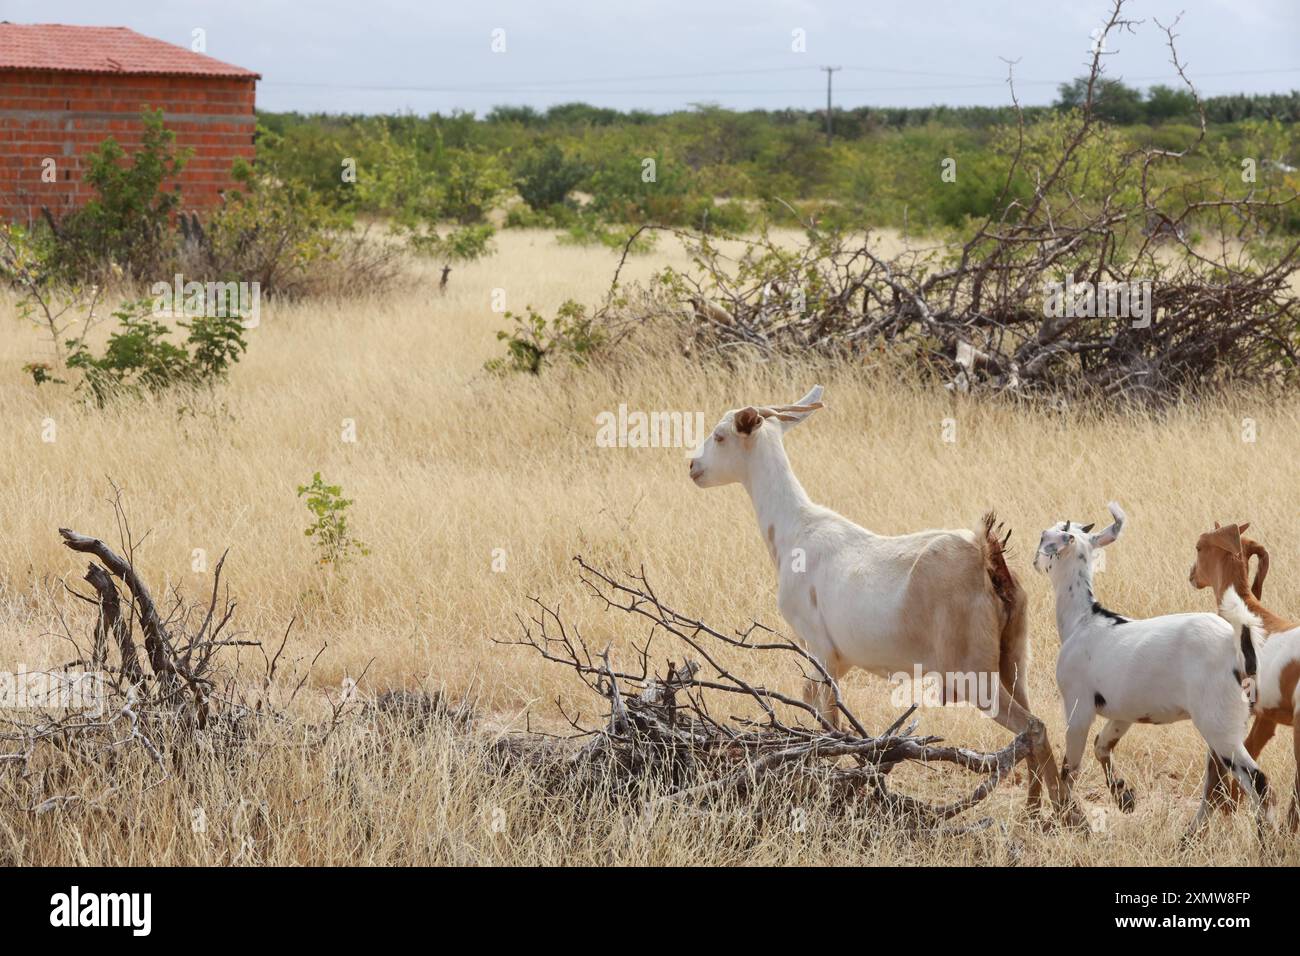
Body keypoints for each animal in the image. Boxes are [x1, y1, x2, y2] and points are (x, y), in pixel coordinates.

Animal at [686, 385, 1071, 816]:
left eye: (720, 435)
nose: (693, 466)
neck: (794, 529)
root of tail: (987, 558)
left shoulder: (819, 648)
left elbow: (828, 718)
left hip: (972, 673)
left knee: (1032, 726)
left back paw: (1064, 817)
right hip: (1014, 659)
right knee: (1036, 723)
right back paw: (1041, 813)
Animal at [1034, 502, 1268, 837]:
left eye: (1045, 536)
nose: (1035, 559)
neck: (1084, 620)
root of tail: (1237, 650)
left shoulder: (1078, 707)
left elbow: (1070, 768)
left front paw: (1071, 820)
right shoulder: (1123, 712)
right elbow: (1101, 745)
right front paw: (1124, 797)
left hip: (1220, 727)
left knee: (1255, 781)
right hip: (1225, 727)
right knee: (1217, 784)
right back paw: (1189, 837)